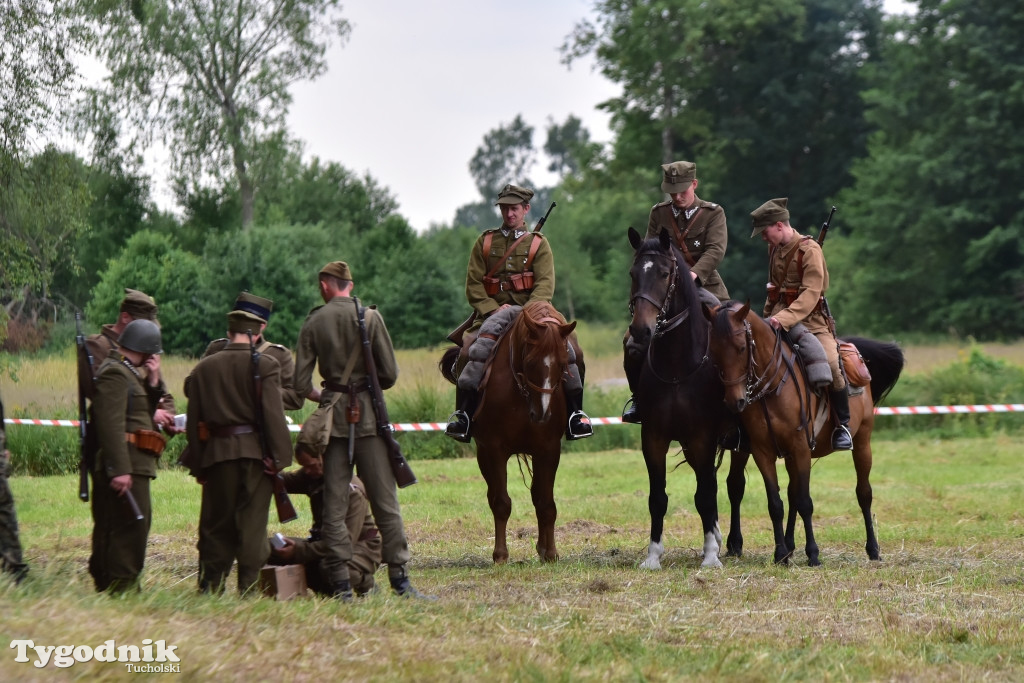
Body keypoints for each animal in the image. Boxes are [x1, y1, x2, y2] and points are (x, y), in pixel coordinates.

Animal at [440, 301, 585, 565]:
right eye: (530, 361)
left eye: (563, 364)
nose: (542, 413)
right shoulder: (493, 451)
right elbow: (501, 503)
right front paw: (500, 555)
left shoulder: (548, 450)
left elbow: (545, 502)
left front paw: (551, 553)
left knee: (538, 495)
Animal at [622, 227, 745, 569]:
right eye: (633, 274)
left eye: (664, 274)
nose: (640, 332)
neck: (677, 365)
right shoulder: (654, 438)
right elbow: (658, 497)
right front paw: (653, 555)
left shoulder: (703, 437)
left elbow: (705, 495)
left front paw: (711, 556)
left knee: (732, 486)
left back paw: (731, 542)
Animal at [704, 301, 905, 565]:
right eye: (714, 352)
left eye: (741, 348)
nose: (734, 401)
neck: (773, 385)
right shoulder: (763, 452)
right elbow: (776, 503)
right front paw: (780, 553)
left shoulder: (800, 448)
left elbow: (805, 502)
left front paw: (813, 554)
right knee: (789, 494)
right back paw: (789, 546)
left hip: (862, 442)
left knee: (864, 493)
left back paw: (873, 549)